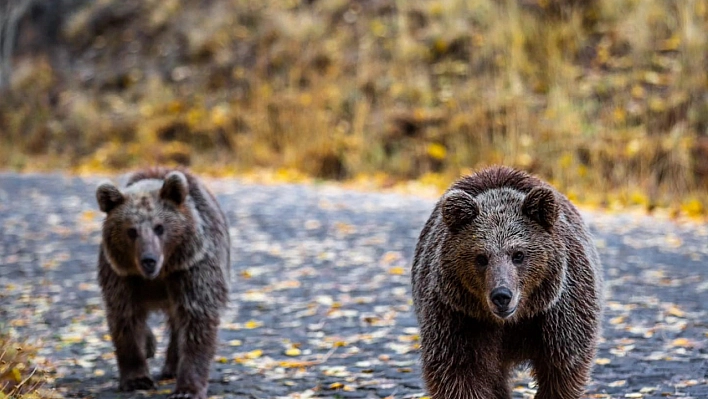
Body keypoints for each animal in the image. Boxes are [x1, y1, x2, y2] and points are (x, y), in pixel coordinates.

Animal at [95, 168, 230, 399]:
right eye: (131, 230)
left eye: (159, 227)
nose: (149, 260)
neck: (159, 275)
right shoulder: (122, 277)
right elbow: (125, 318)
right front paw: (137, 379)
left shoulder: (190, 270)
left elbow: (197, 320)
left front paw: (187, 389)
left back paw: (171, 367)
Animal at [412, 166, 604, 399]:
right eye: (481, 257)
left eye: (518, 254)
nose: (501, 295)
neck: (512, 322)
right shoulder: (458, 317)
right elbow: (458, 373)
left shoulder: (559, 314)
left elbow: (562, 370)